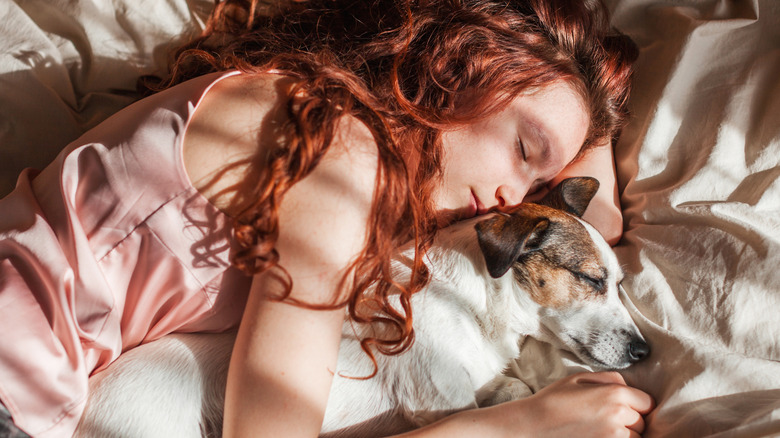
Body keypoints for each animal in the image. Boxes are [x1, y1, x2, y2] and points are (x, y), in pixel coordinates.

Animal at [74, 177, 644, 438]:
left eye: (619, 282)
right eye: (592, 280)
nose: (645, 351)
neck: (476, 302)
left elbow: (514, 387)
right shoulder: (443, 405)